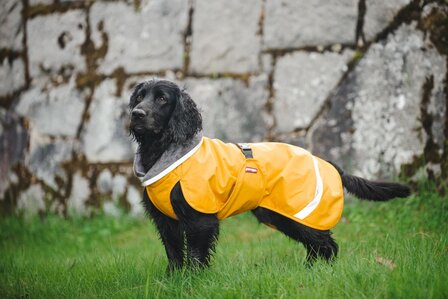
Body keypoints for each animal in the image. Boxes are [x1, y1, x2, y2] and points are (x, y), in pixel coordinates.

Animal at [128, 79, 412, 272]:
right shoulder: (165, 220)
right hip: (280, 215)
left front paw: (193, 280)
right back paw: (309, 271)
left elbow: (197, 255)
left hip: (298, 214)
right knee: (316, 245)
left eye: (162, 99)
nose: (136, 114)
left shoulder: (200, 219)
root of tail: (329, 162)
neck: (165, 150)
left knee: (326, 244)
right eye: (139, 97)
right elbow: (174, 253)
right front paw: (173, 279)